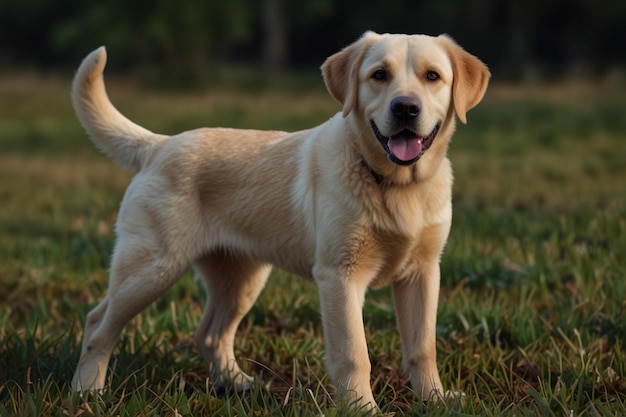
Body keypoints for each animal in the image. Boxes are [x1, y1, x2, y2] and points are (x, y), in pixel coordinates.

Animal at [69, 31, 488, 410]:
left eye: (432, 76)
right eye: (379, 75)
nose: (405, 108)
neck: (395, 185)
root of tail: (158, 145)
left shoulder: (423, 271)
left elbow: (423, 346)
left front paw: (435, 400)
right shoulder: (340, 275)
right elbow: (354, 354)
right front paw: (362, 409)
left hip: (242, 278)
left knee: (210, 334)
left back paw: (237, 384)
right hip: (153, 267)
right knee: (97, 323)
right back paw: (88, 391)